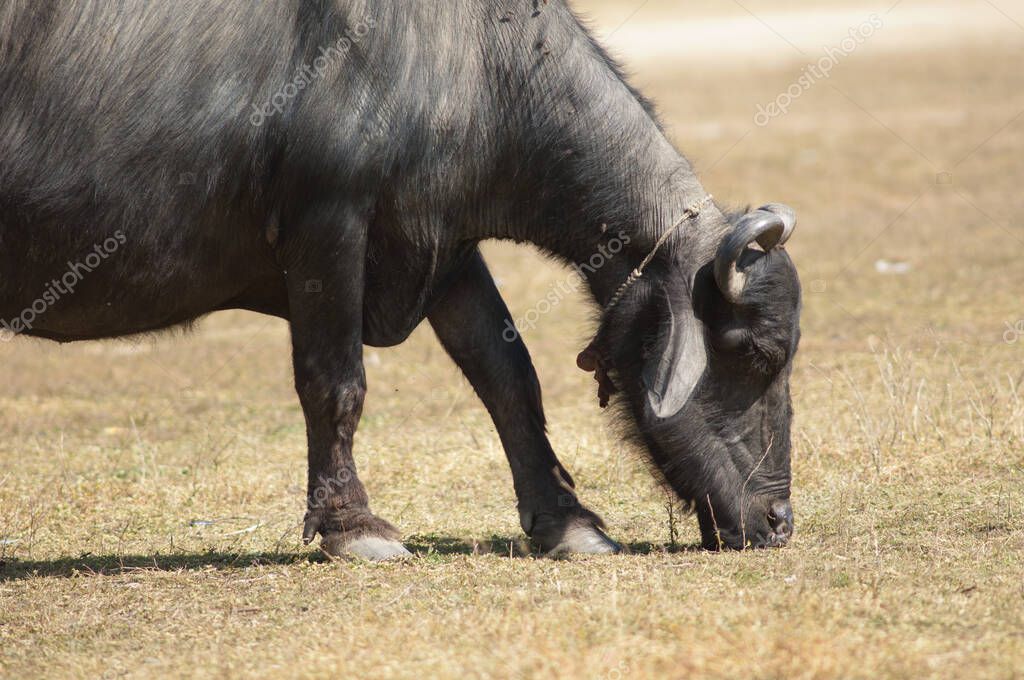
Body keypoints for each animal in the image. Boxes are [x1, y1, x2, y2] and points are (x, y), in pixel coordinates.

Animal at [0, 0, 798, 557]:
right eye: (754, 353)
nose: (779, 520)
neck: (476, 65)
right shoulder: (328, 223)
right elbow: (334, 381)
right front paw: (351, 524)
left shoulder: (443, 246)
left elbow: (509, 377)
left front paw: (567, 522)